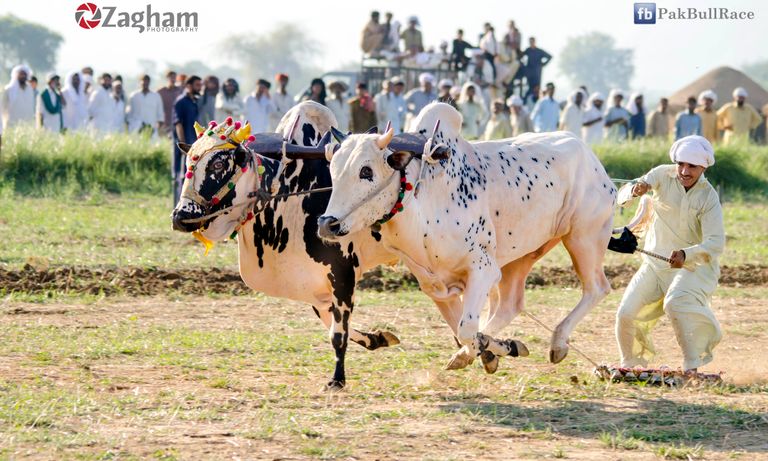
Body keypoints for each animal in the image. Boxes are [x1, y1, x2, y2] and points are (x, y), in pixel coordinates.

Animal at [171, 101, 400, 388]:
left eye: (219, 164)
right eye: (190, 162)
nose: (180, 216)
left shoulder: (342, 273)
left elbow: (338, 332)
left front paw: (337, 378)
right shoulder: (315, 285)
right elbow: (330, 320)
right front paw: (377, 337)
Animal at [320, 102, 616, 368]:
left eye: (366, 171)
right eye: (333, 170)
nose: (327, 223)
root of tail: (593, 161)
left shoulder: (483, 269)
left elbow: (466, 329)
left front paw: (492, 348)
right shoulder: (436, 286)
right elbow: (465, 331)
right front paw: (493, 349)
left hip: (583, 239)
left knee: (596, 288)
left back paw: (558, 343)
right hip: (520, 257)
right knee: (510, 303)